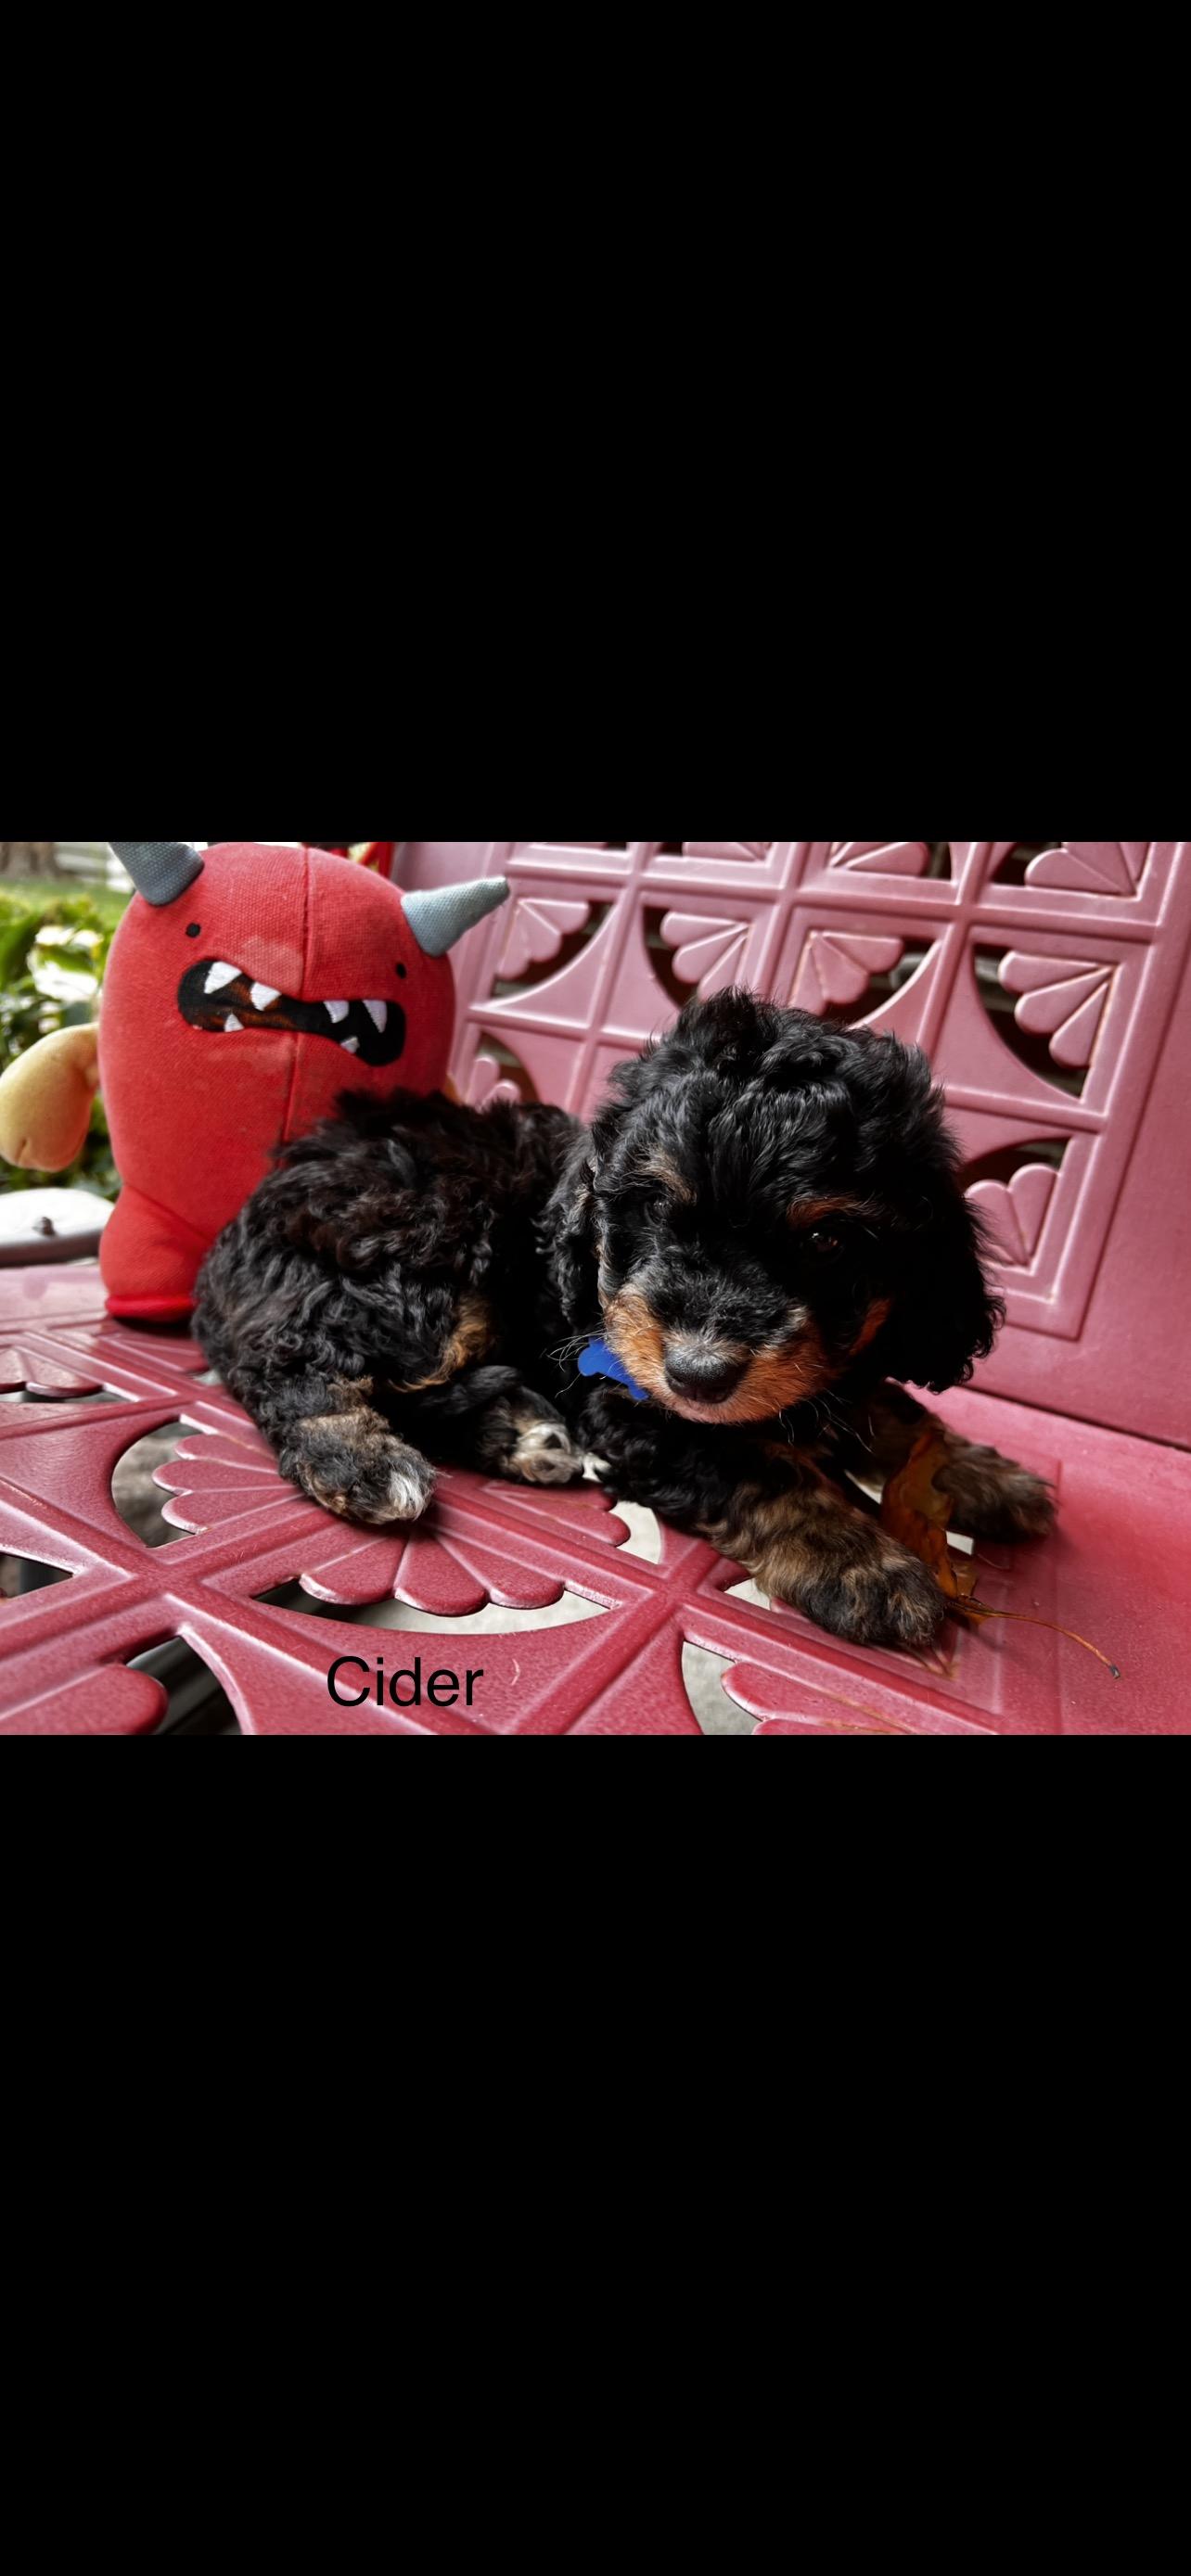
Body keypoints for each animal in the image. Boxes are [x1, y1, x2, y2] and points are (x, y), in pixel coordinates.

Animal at [194, 989, 1054, 1649]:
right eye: (658, 1209)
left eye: (825, 1240)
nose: (699, 1374)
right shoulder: (631, 1395)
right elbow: (761, 1468)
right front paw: (860, 1563)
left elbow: (892, 1410)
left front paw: (982, 1474)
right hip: (429, 1257)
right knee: (291, 1358)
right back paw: (361, 1460)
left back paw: (518, 1435)